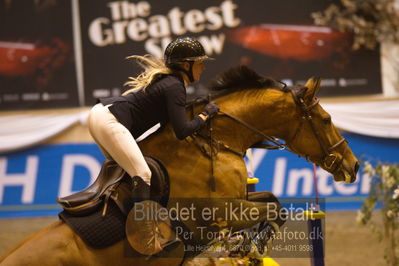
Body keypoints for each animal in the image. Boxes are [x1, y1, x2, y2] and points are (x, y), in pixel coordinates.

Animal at [0, 65, 360, 264]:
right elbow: (274, 208)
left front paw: (248, 245)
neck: (214, 142)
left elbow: (274, 202)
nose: (354, 166)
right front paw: (251, 246)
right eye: (326, 120)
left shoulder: (240, 200)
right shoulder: (224, 211)